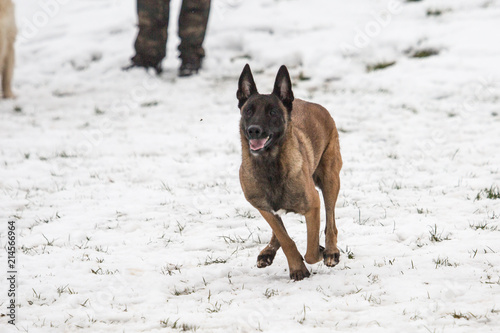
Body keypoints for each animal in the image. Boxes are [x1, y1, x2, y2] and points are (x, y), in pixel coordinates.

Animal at [236, 63, 342, 278]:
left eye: (273, 112)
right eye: (248, 110)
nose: (254, 130)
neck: (270, 165)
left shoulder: (313, 205)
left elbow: (311, 252)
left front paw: (319, 252)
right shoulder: (264, 209)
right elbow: (286, 240)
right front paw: (297, 268)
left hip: (330, 181)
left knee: (331, 223)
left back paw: (331, 250)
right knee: (279, 232)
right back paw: (268, 251)